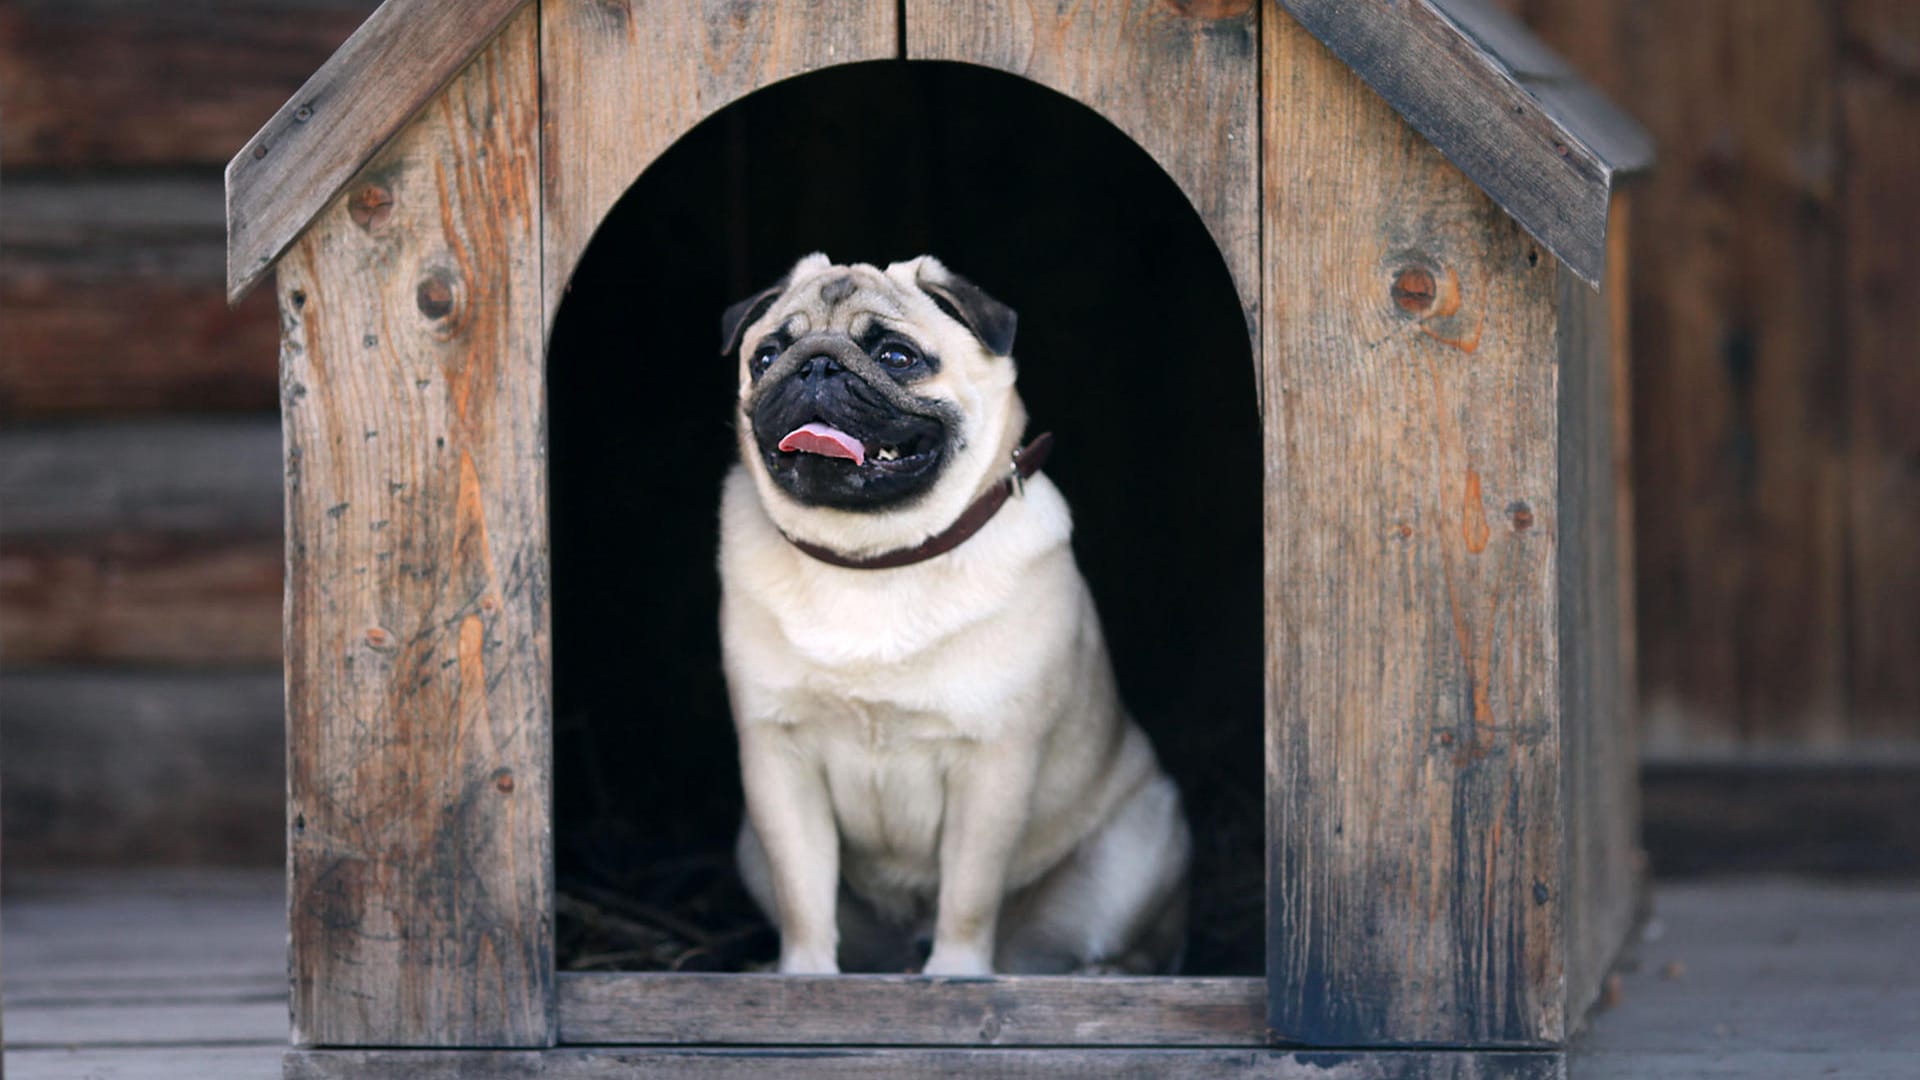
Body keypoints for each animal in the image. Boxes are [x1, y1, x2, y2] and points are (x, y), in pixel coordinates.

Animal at [718, 251, 1182, 976]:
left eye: (897, 356)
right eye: (766, 356)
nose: (815, 366)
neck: (876, 561)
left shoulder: (991, 764)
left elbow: (968, 892)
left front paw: (957, 978)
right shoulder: (779, 759)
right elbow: (803, 894)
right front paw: (805, 977)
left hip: (1138, 850)